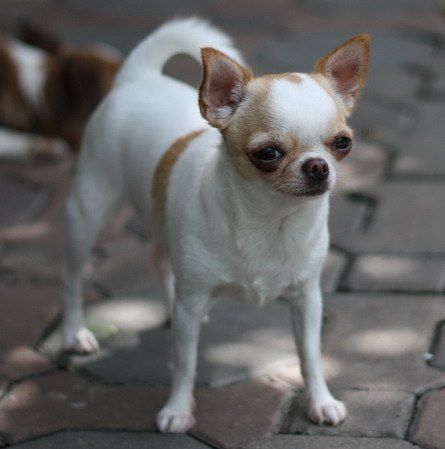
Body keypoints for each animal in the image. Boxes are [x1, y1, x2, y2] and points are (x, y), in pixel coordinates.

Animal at [63, 18, 370, 433]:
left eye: (342, 144)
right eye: (267, 153)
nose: (318, 166)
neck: (271, 222)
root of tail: (138, 77)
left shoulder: (307, 299)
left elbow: (310, 357)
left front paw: (321, 402)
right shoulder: (192, 301)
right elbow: (185, 363)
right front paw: (177, 410)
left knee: (156, 254)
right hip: (88, 211)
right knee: (73, 278)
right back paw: (74, 332)